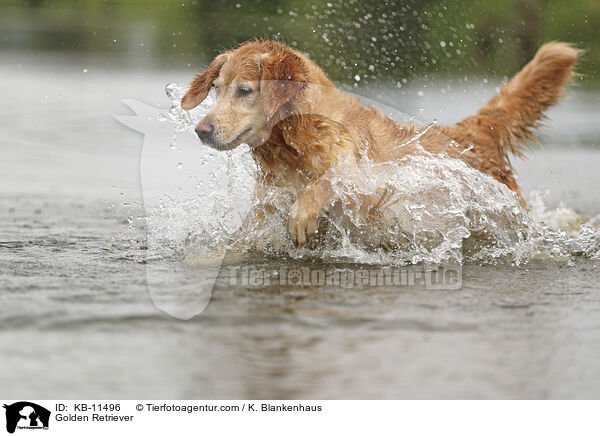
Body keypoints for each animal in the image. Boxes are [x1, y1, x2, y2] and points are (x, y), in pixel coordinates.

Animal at [180, 40, 580, 249]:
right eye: (217, 89)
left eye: (245, 90)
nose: (201, 129)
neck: (294, 143)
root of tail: (474, 132)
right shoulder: (265, 207)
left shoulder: (368, 185)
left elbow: (326, 182)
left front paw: (303, 213)